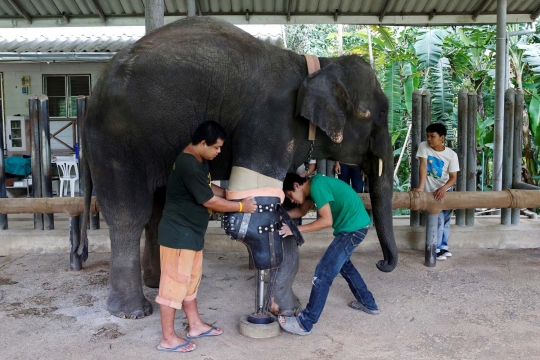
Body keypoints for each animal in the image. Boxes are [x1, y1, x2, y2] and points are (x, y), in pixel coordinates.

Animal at [82, 15, 398, 320]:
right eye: (382, 112)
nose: (382, 263)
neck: (314, 64)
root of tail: (91, 96)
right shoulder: (269, 124)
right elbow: (261, 212)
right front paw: (286, 309)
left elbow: (280, 209)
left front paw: (282, 306)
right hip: (117, 143)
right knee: (128, 214)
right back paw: (132, 311)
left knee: (156, 210)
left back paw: (157, 284)